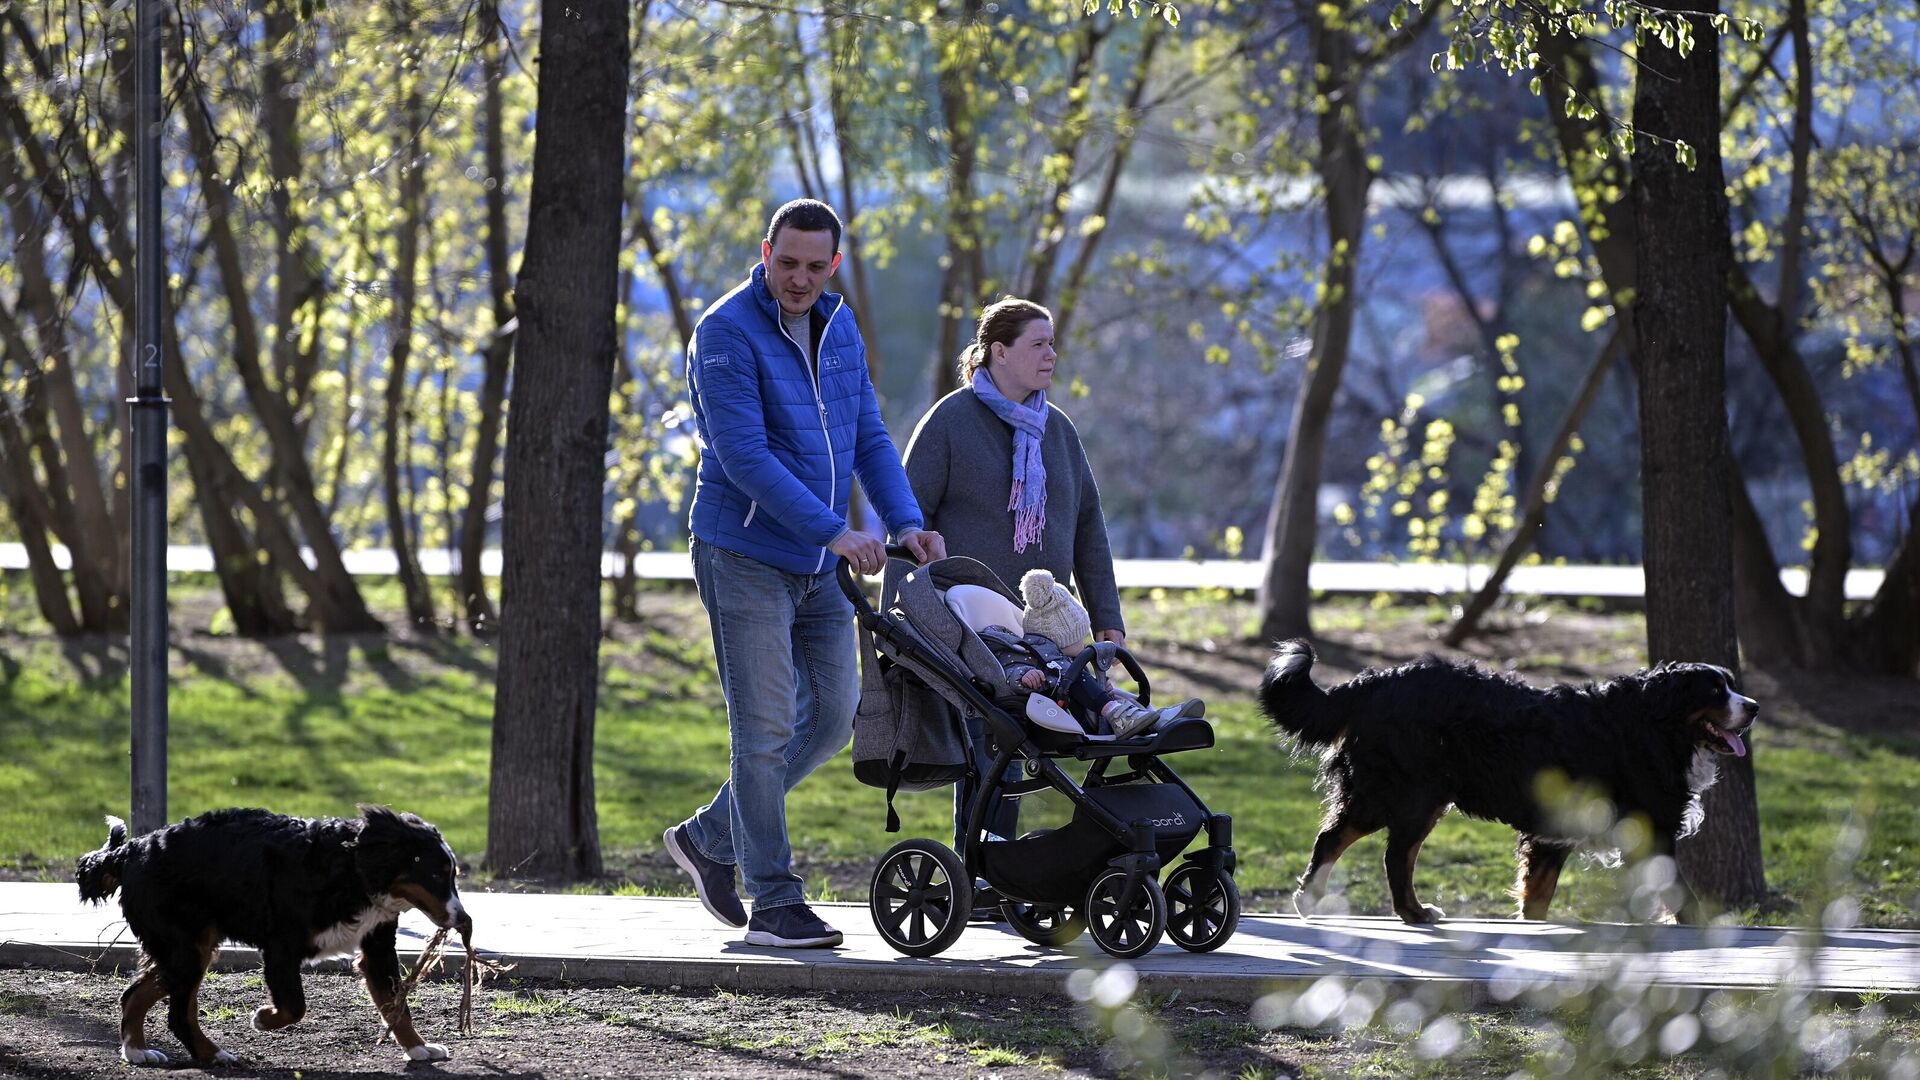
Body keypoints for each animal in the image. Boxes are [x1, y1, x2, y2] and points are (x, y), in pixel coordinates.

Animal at [73, 803, 468, 1060]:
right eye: (436, 874)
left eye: (454, 875)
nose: (463, 918)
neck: (353, 869)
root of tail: (130, 850)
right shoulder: (281, 947)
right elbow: (294, 1006)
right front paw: (264, 1018)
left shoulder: (377, 950)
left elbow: (397, 1005)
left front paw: (418, 1048)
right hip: (186, 949)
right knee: (177, 1014)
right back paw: (212, 1054)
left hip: (188, 950)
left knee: (135, 995)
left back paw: (138, 1051)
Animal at [1251, 638, 1758, 926]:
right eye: (1715, 691)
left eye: (1732, 684)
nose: (1752, 707)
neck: (1655, 725)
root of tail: (1375, 681)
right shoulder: (1652, 832)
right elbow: (1682, 893)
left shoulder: (1552, 836)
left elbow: (1537, 897)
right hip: (1407, 796)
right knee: (1375, 851)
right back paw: (1407, 912)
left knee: (1360, 845)